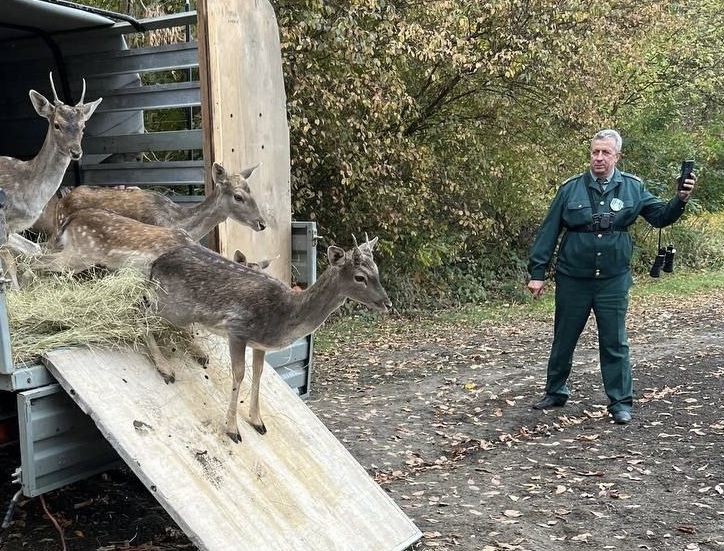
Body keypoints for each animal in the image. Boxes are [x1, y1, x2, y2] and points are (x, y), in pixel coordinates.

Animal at [148, 237, 394, 444]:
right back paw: (165, 368)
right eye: (359, 277)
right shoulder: (237, 330)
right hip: (170, 306)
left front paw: (258, 422)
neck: (284, 318)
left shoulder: (259, 344)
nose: (387, 303)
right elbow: (239, 374)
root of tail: (154, 265)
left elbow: (258, 373)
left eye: (377, 271)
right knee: (143, 316)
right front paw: (232, 429)